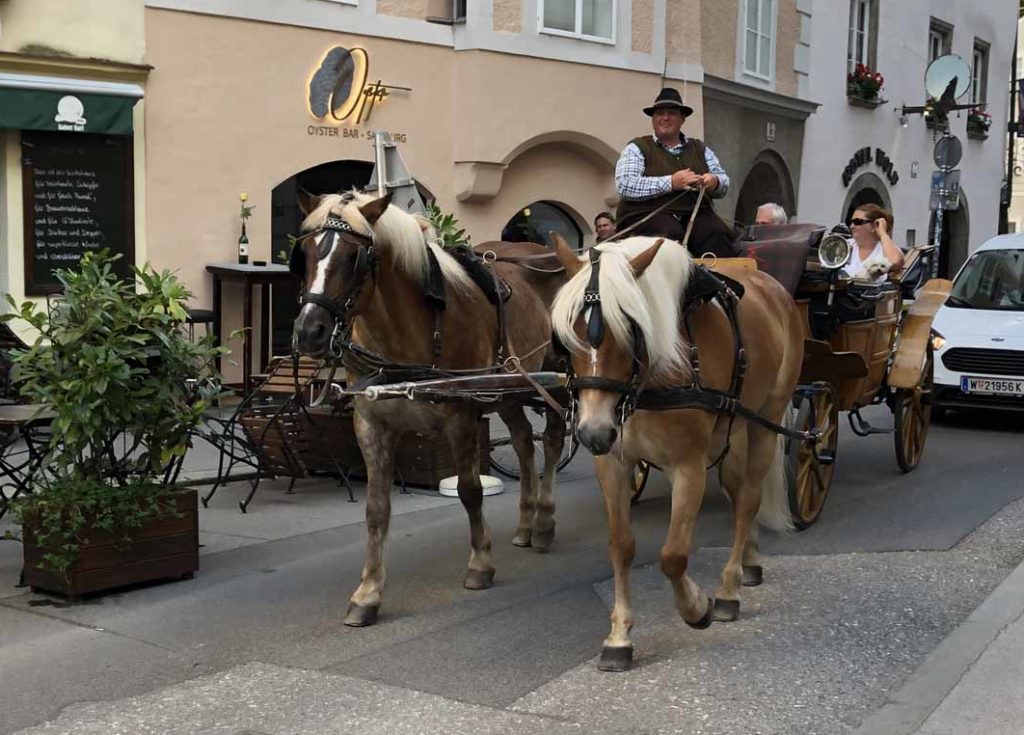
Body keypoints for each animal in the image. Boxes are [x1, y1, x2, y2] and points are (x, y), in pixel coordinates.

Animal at [290, 191, 569, 626]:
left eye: (354, 257)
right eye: (303, 253)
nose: (309, 332)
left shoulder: (462, 416)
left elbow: (470, 491)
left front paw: (480, 563)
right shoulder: (371, 425)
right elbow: (376, 509)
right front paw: (368, 592)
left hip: (556, 378)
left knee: (553, 439)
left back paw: (542, 520)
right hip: (508, 387)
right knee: (524, 442)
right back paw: (526, 522)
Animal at [552, 233, 798, 671]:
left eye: (630, 329)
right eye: (567, 338)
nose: (593, 432)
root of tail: (772, 287)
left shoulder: (689, 467)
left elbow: (673, 555)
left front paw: (696, 607)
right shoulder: (612, 463)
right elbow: (621, 545)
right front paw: (619, 635)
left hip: (764, 422)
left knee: (748, 500)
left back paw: (730, 589)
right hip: (733, 431)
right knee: (737, 493)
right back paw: (749, 560)